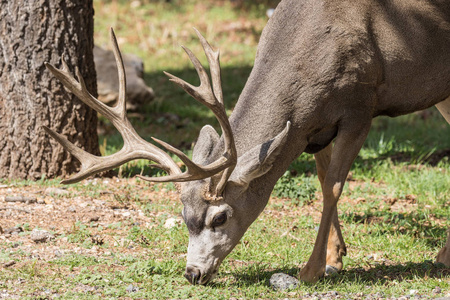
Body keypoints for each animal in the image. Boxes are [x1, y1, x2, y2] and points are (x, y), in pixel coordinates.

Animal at [45, 0, 450, 286]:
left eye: (220, 216)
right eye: (183, 217)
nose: (192, 274)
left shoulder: (359, 107)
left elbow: (334, 186)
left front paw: (311, 269)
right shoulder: (314, 127)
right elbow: (323, 180)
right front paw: (335, 256)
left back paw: (443, 255)